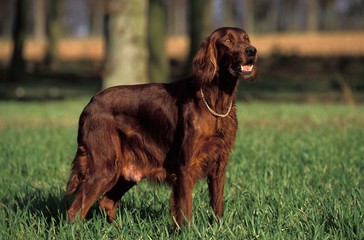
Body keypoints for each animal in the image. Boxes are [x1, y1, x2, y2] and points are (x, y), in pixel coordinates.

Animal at [66, 26, 258, 229]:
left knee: (106, 202)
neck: (215, 102)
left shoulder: (219, 166)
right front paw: (187, 232)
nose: (252, 50)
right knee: (75, 211)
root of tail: (90, 103)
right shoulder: (185, 168)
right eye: (228, 41)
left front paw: (218, 229)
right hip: (104, 168)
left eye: (246, 39)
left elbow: (217, 205)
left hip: (126, 172)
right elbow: (185, 210)